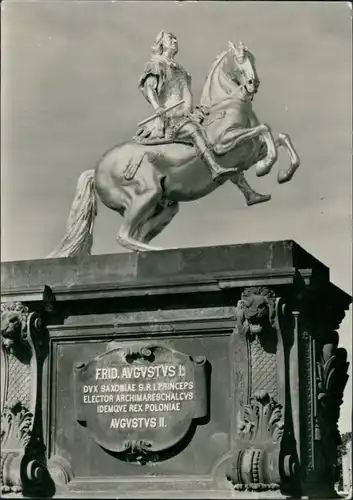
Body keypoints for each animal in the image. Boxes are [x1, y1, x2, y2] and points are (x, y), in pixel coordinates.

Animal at [48, 41, 298, 256]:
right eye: (239, 59)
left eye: (253, 58)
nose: (253, 84)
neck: (224, 106)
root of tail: (96, 169)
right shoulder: (224, 144)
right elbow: (264, 130)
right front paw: (265, 167)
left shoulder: (252, 151)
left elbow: (281, 138)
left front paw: (282, 175)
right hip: (144, 196)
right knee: (124, 236)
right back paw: (164, 251)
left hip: (165, 208)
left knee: (136, 235)